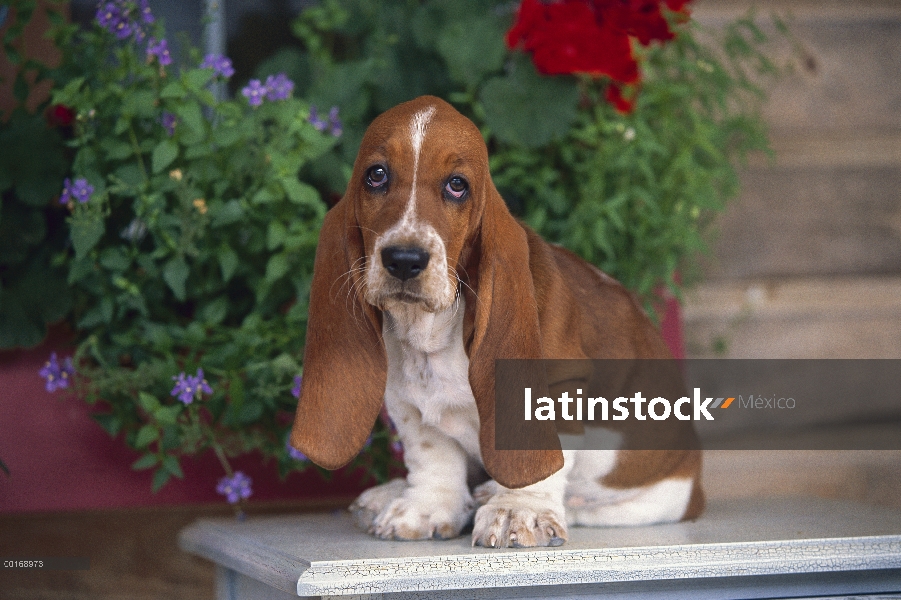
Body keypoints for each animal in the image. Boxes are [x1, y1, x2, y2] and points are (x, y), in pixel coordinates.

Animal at [292, 95, 708, 548]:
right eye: (376, 175)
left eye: (457, 185)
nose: (404, 259)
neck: (432, 332)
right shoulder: (405, 399)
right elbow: (431, 453)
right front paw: (427, 505)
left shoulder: (558, 386)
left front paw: (516, 510)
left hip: (652, 497)